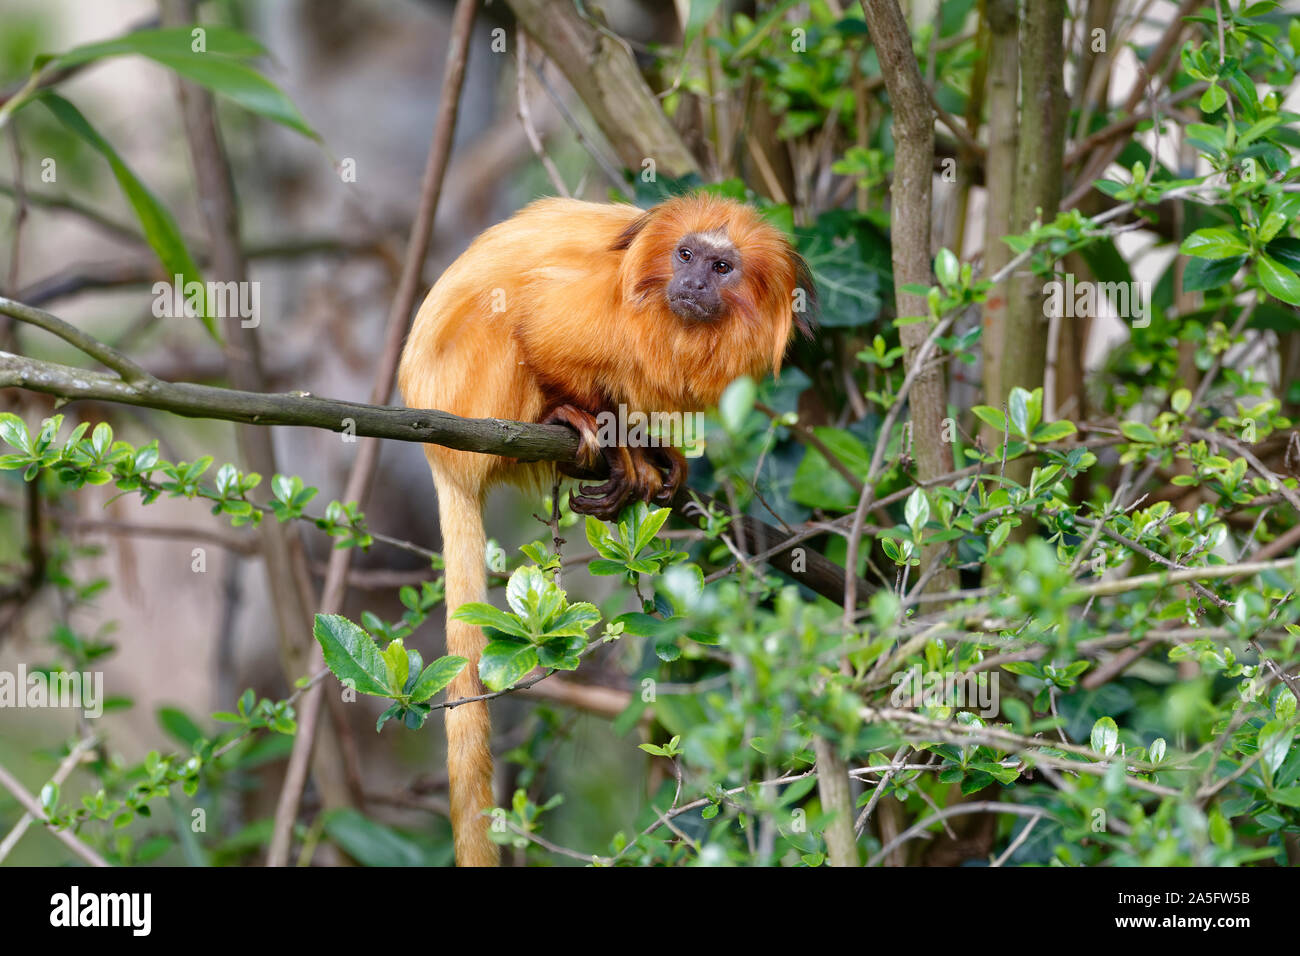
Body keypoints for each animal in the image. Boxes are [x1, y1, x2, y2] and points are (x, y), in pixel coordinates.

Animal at [395, 195, 811, 868]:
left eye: (722, 267)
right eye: (685, 255)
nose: (693, 283)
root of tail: (442, 455)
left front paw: (651, 450)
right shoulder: (594, 304)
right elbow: (539, 327)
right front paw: (607, 436)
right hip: (474, 394)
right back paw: (571, 423)